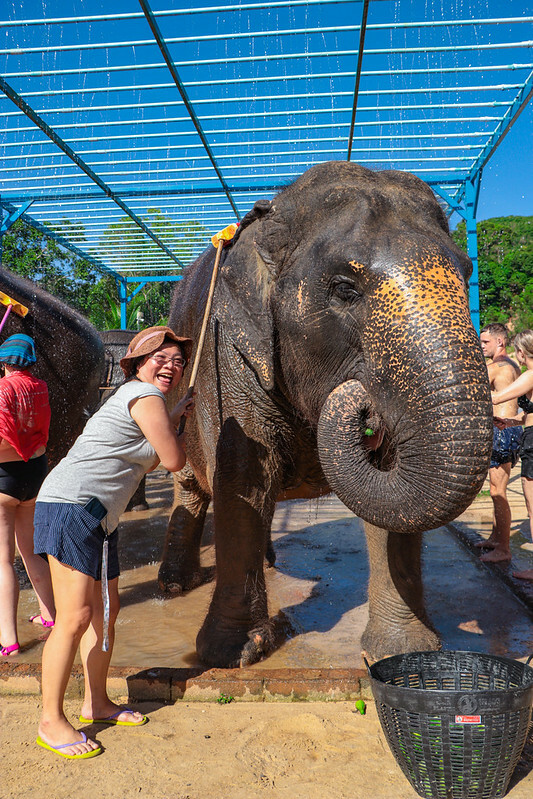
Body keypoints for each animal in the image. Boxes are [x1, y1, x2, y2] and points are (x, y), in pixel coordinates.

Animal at [157, 161, 493, 668]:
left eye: (467, 271)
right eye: (344, 290)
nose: (362, 399)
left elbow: (391, 497)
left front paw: (403, 654)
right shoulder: (227, 351)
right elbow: (242, 476)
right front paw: (233, 654)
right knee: (192, 490)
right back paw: (174, 587)